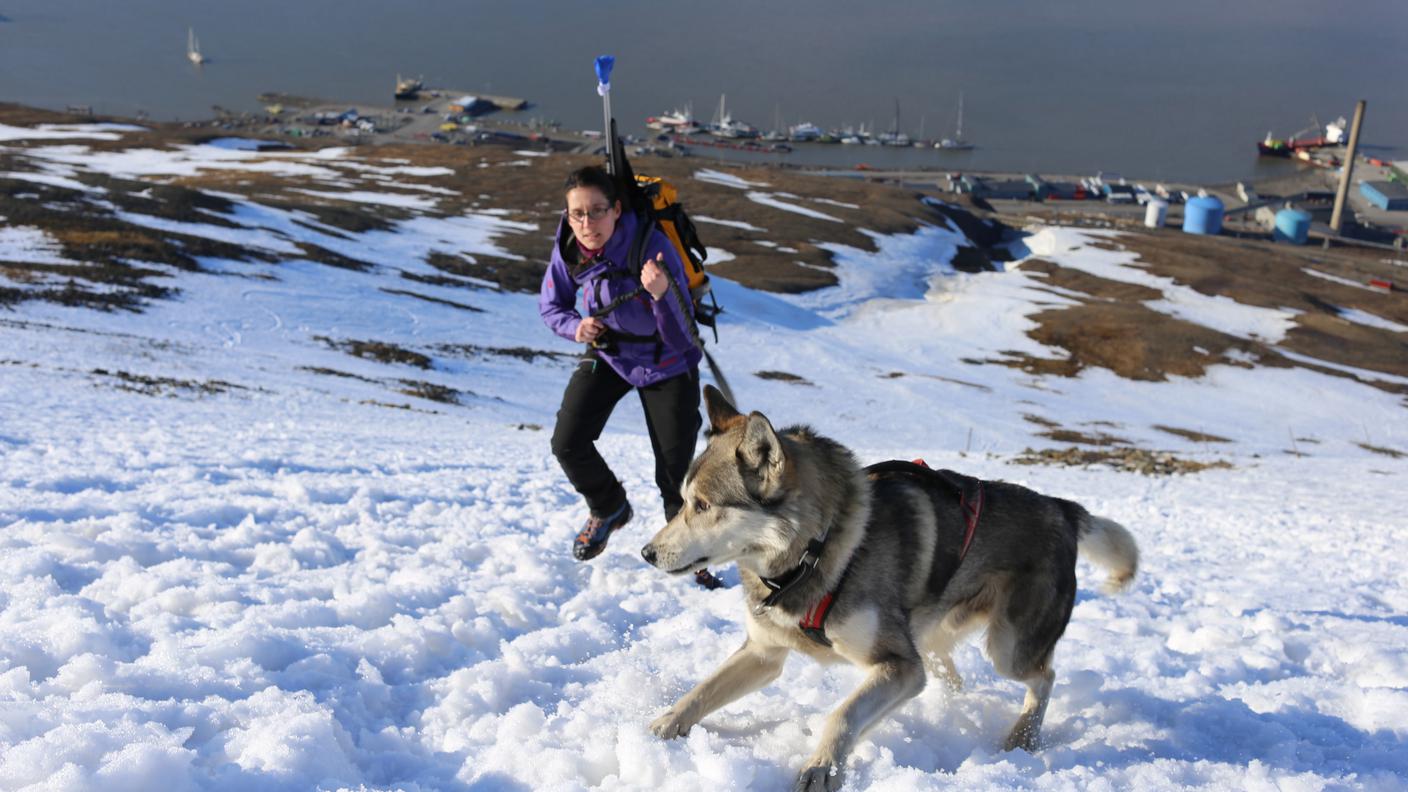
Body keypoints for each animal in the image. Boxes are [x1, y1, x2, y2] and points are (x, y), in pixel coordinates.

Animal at [644, 383, 1137, 783]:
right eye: (683, 501)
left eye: (703, 505)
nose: (647, 553)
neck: (816, 551)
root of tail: (1062, 509)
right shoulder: (764, 653)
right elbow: (702, 691)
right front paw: (662, 725)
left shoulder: (899, 666)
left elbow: (842, 715)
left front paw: (822, 767)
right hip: (935, 636)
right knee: (953, 674)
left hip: (1007, 649)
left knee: (1045, 677)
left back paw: (1024, 737)